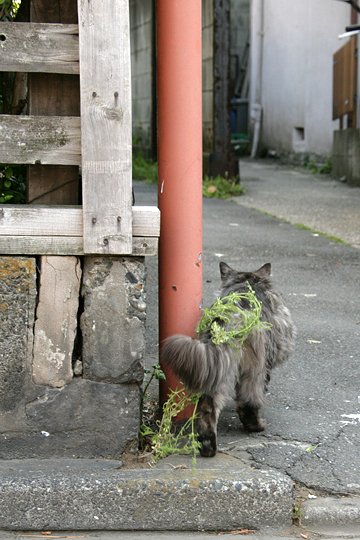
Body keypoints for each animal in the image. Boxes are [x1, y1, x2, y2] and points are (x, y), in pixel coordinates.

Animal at [161, 264, 296, 458]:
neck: (246, 282)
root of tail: (231, 315)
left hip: (215, 368)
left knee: (208, 407)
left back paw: (207, 447)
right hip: (255, 368)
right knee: (249, 402)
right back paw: (256, 426)